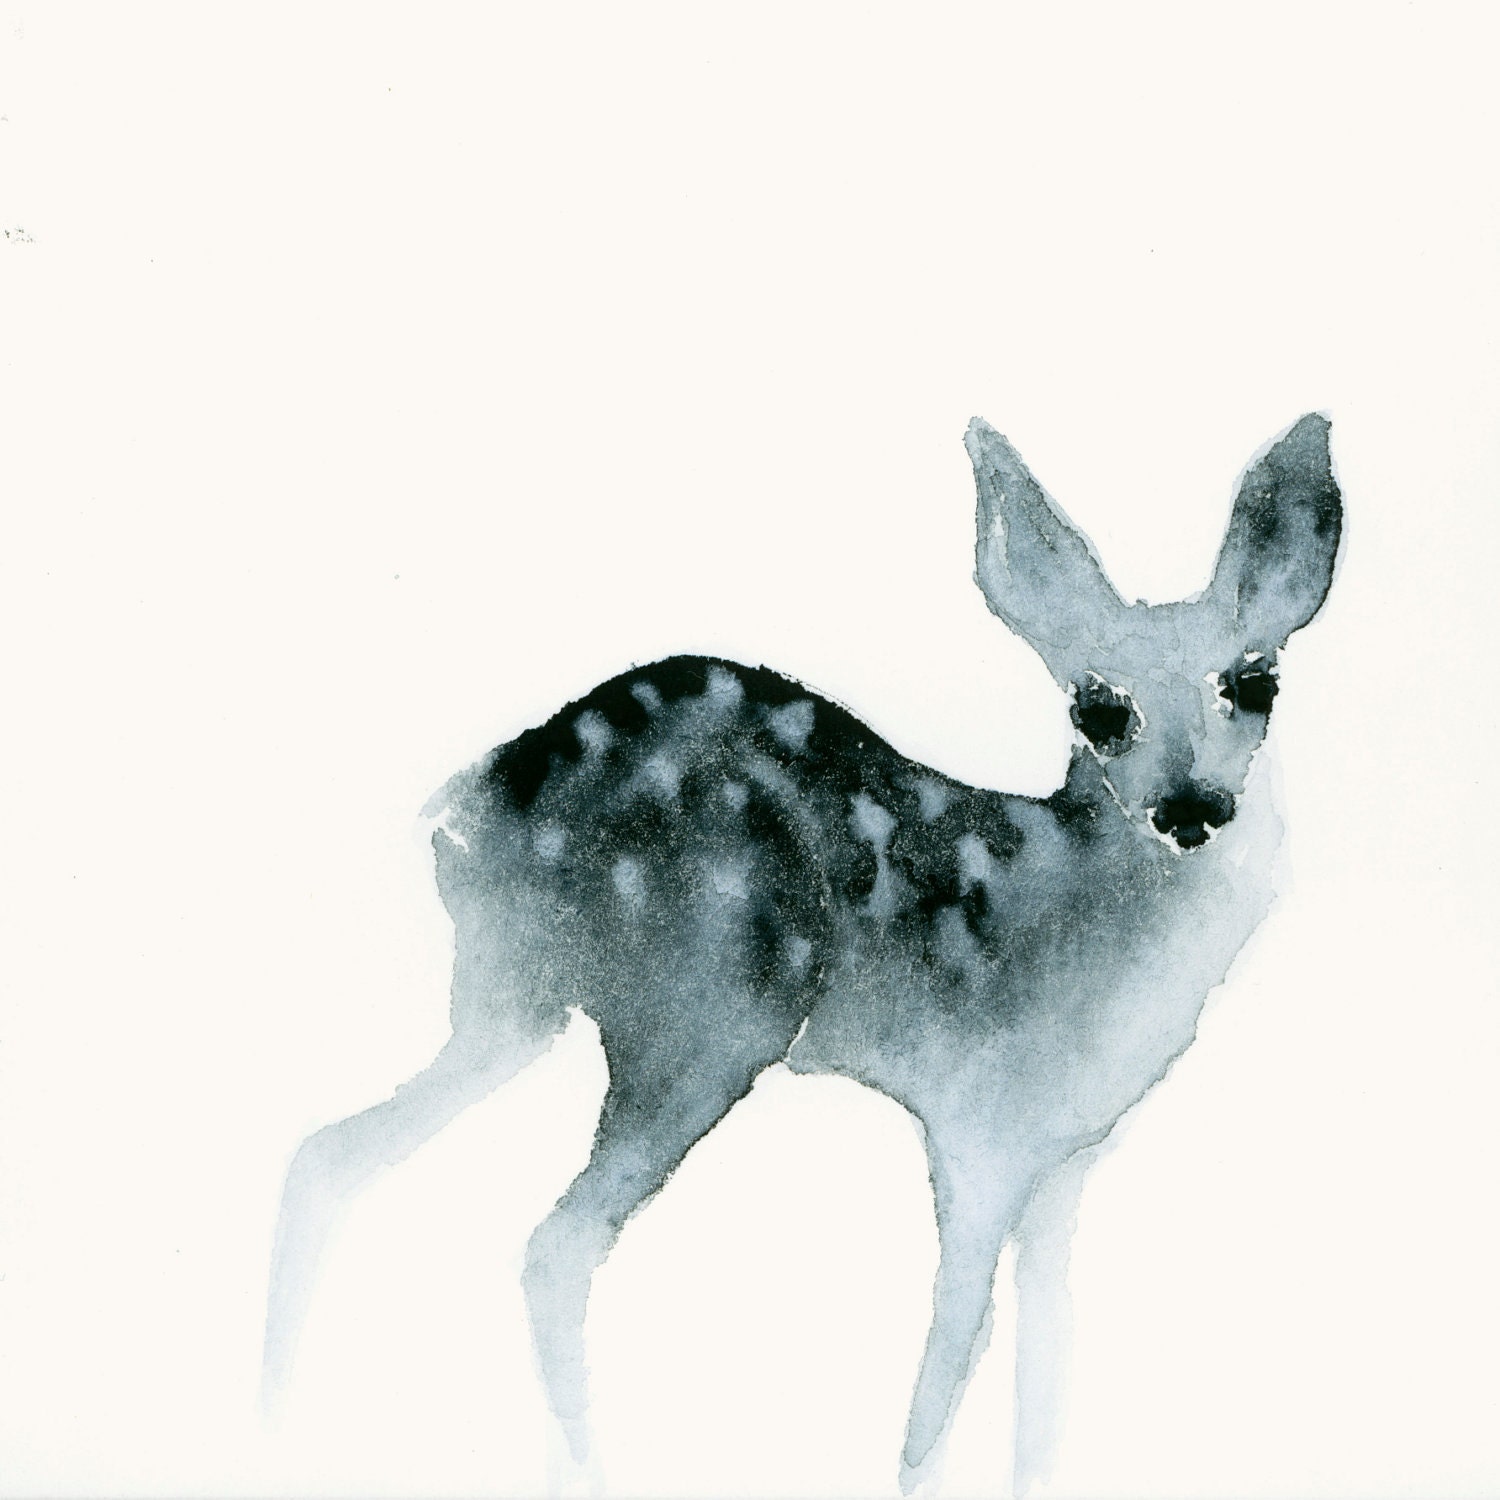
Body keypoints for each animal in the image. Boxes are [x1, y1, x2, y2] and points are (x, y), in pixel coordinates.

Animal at [263, 413, 1342, 1495]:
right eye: (1099, 707)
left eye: (1255, 682)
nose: (1192, 809)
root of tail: (469, 806)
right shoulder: (979, 1127)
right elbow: (944, 1379)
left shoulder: (1066, 1162)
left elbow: (1047, 1373)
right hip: (706, 1016)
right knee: (552, 1246)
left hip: (511, 1001)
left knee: (328, 1156)